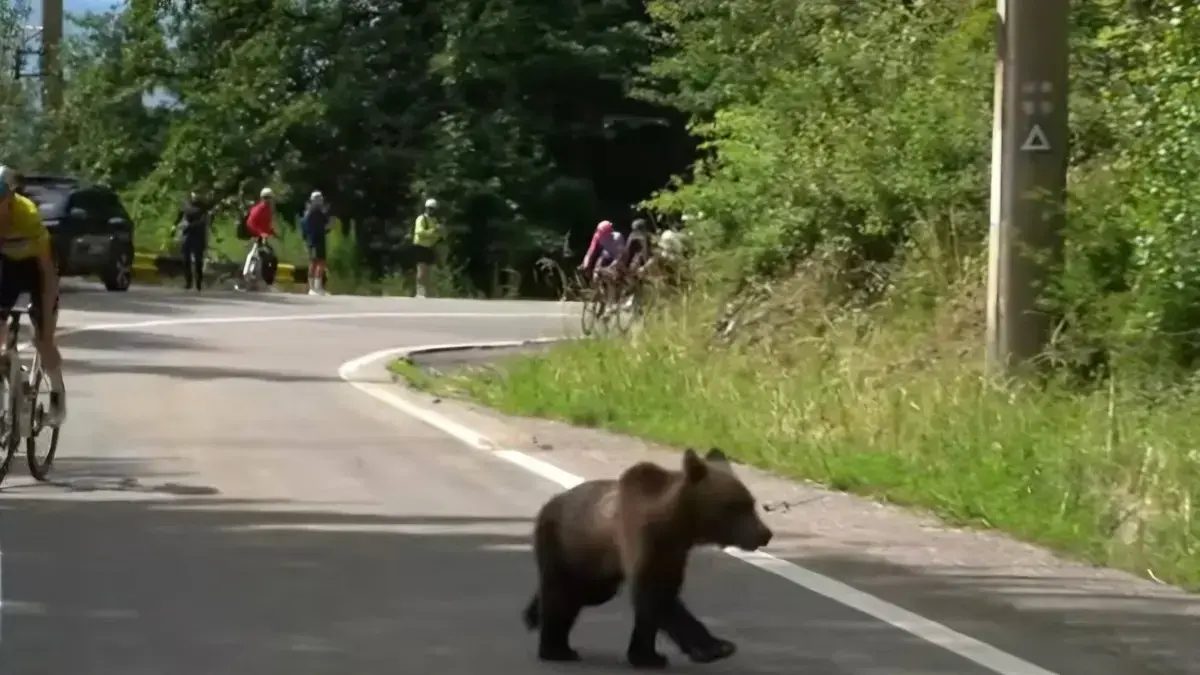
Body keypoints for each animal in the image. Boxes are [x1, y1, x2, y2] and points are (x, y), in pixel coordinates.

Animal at [521, 447, 774, 669]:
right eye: (735, 506)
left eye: (751, 503)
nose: (765, 534)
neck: (678, 526)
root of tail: (550, 503)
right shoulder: (639, 538)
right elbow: (655, 595)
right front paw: (716, 647)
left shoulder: (674, 553)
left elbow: (660, 597)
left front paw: (649, 655)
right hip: (563, 545)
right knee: (559, 593)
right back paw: (555, 648)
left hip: (594, 569)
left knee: (581, 595)